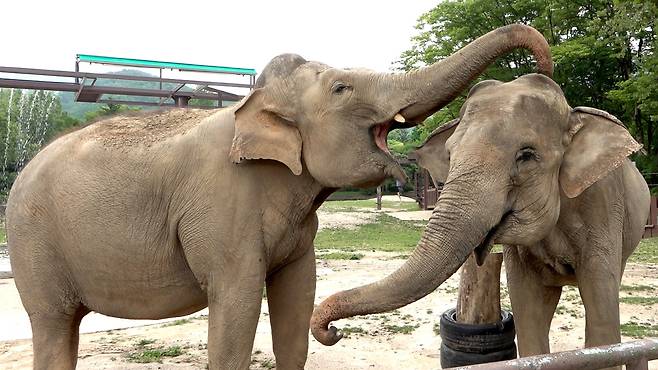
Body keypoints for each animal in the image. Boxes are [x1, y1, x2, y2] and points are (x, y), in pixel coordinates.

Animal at [7, 24, 552, 368]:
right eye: (341, 87)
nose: (543, 66)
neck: (257, 106)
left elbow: (296, 301)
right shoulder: (222, 210)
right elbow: (236, 310)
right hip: (32, 244)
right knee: (52, 326)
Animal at [310, 72, 648, 368]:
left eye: (526, 155)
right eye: (450, 154)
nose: (332, 331)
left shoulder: (602, 205)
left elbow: (603, 320)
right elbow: (528, 313)